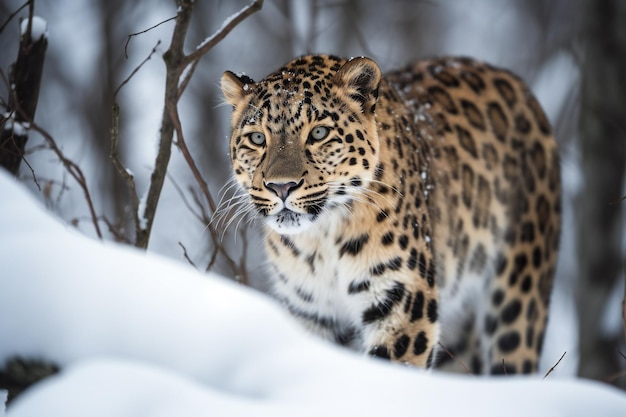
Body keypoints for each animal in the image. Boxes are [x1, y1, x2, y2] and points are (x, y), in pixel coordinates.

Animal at [221, 52, 560, 374]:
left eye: (318, 133)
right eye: (257, 138)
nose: (281, 186)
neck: (320, 240)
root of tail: (511, 78)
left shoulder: (403, 304)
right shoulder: (310, 313)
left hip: (518, 300)